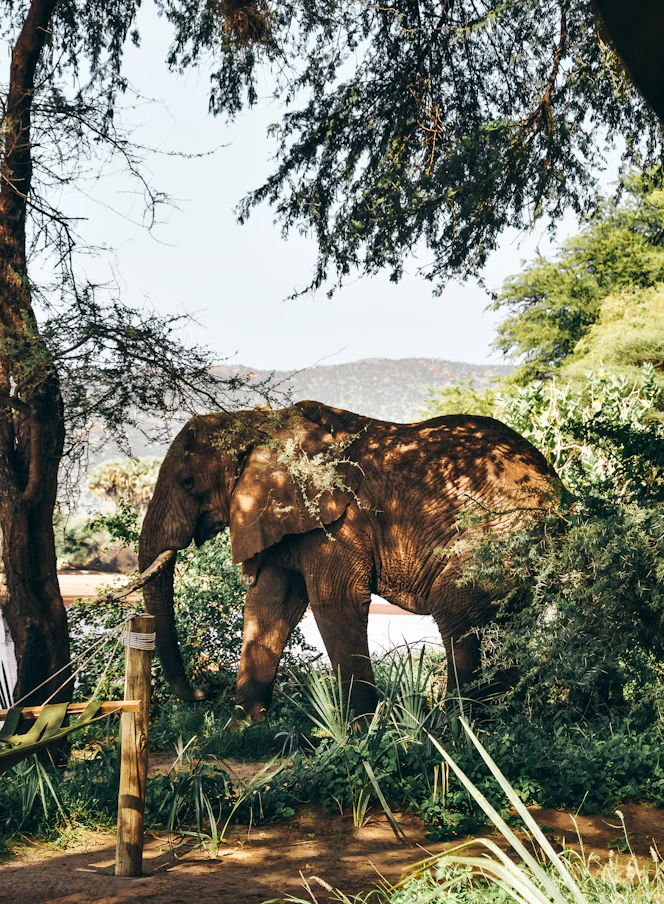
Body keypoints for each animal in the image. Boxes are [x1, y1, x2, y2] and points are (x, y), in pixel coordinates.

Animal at [139, 400, 565, 721]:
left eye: (187, 482)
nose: (205, 690)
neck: (262, 424)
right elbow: (268, 604)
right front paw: (244, 726)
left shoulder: (340, 519)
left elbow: (335, 600)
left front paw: (360, 731)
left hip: (502, 534)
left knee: (457, 613)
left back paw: (455, 730)